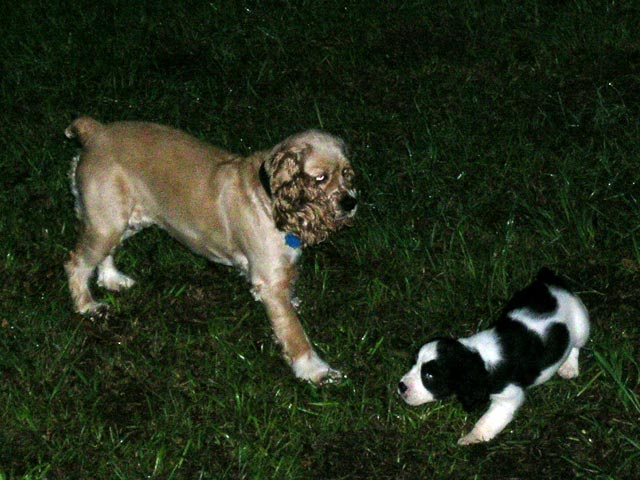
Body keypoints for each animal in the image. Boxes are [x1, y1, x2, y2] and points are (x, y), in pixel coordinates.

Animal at [400, 268, 592, 444]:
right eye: (414, 363)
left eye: (429, 376)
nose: (401, 386)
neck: (478, 357)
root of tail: (551, 281)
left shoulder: (508, 398)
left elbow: (486, 422)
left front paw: (471, 438)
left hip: (581, 326)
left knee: (575, 346)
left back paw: (569, 366)